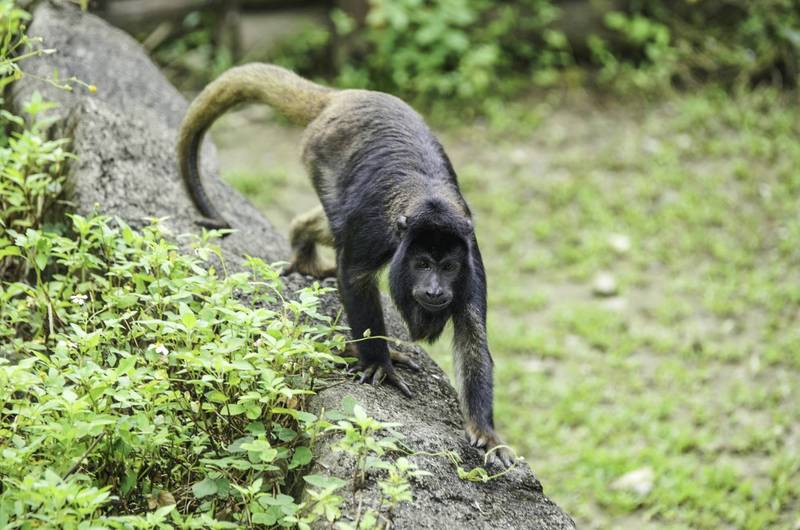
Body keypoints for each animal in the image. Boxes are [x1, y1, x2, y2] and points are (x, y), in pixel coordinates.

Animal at [177, 63, 512, 466]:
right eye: (422, 264)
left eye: (448, 267)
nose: (435, 290)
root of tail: (345, 97)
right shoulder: (374, 230)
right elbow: (354, 276)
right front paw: (379, 362)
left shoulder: (470, 255)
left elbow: (472, 334)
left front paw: (484, 430)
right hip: (319, 153)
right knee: (337, 225)